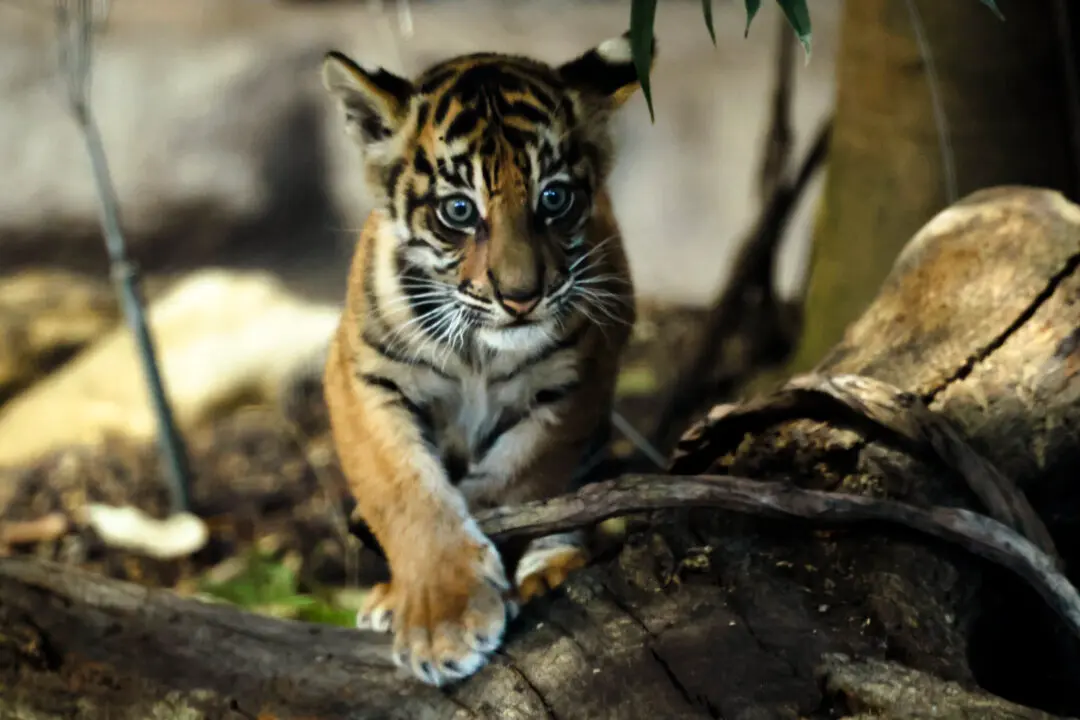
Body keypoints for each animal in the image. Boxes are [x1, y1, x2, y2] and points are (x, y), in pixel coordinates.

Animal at [320, 30, 653, 687]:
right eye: (459, 211)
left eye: (554, 198)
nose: (521, 297)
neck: (479, 349)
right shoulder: (359, 374)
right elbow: (404, 488)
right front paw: (439, 617)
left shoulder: (574, 385)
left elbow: (513, 485)